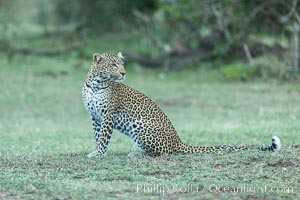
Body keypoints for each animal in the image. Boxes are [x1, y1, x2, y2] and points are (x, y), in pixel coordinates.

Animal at [81, 52, 282, 158]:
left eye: (121, 64)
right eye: (113, 65)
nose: (124, 73)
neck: (96, 84)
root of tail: (178, 141)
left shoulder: (108, 114)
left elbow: (103, 137)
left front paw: (99, 154)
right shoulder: (95, 117)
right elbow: (97, 136)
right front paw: (96, 151)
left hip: (139, 126)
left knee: (162, 153)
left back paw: (137, 154)